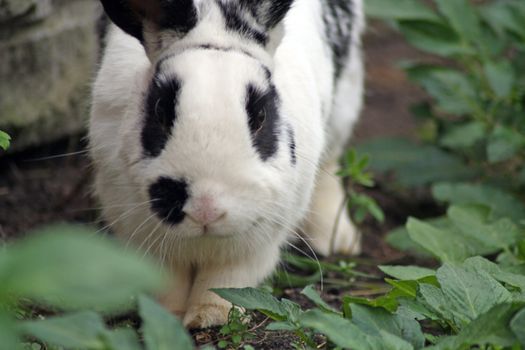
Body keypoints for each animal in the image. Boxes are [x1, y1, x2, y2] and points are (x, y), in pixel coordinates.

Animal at [90, 0, 362, 328]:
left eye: (259, 116)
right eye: (160, 111)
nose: (205, 209)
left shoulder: (257, 243)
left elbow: (227, 281)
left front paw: (211, 317)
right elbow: (168, 282)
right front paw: (170, 316)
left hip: (344, 102)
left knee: (331, 166)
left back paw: (336, 240)